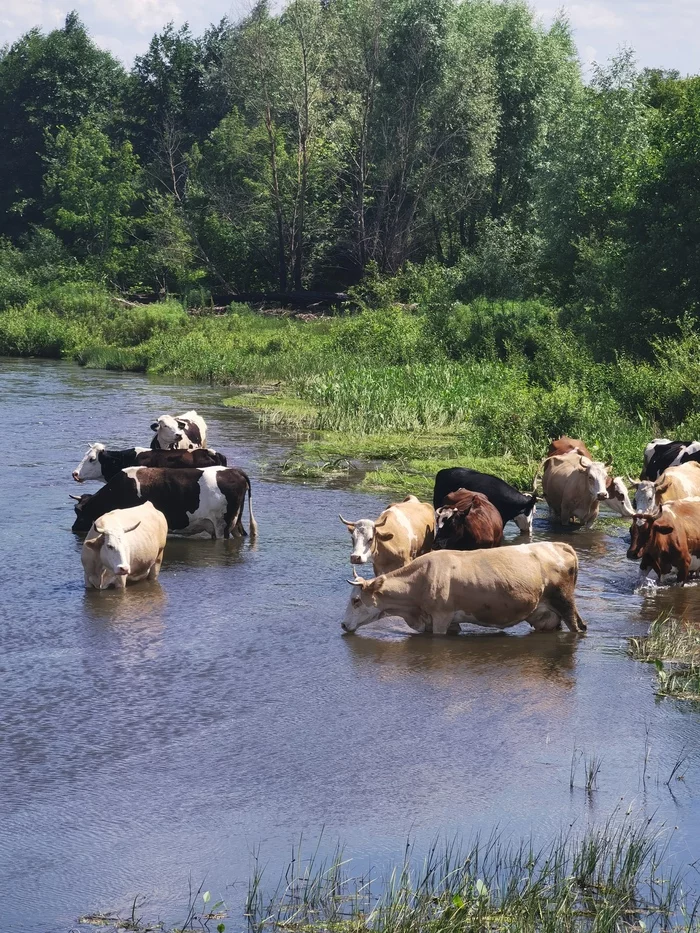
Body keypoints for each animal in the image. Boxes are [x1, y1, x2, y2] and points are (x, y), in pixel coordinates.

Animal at [340, 544, 584, 636]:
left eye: (356, 600)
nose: (343, 625)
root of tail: (559, 545)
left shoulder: (441, 617)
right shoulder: (449, 623)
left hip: (565, 603)